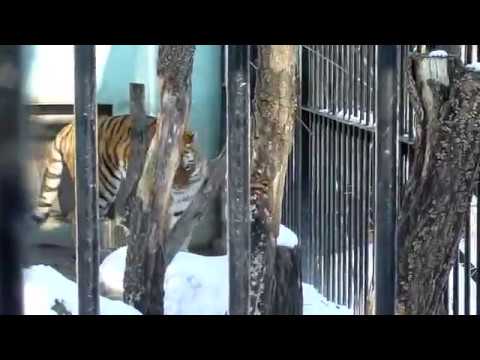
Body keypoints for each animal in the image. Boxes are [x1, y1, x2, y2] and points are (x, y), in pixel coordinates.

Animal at [32, 113, 206, 231]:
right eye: (172, 169)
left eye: (187, 167)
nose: (179, 187)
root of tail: (68, 127)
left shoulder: (179, 210)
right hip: (103, 189)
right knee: (77, 217)